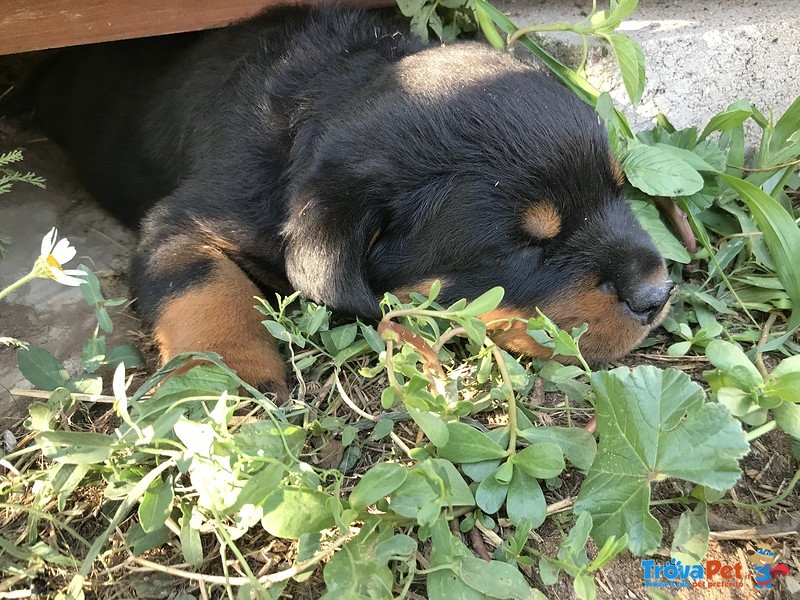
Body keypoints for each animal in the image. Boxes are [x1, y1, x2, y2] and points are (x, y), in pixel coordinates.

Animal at [15, 8, 672, 394]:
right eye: (524, 248)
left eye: (618, 190)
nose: (658, 294)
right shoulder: (183, 219)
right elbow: (201, 284)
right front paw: (220, 375)